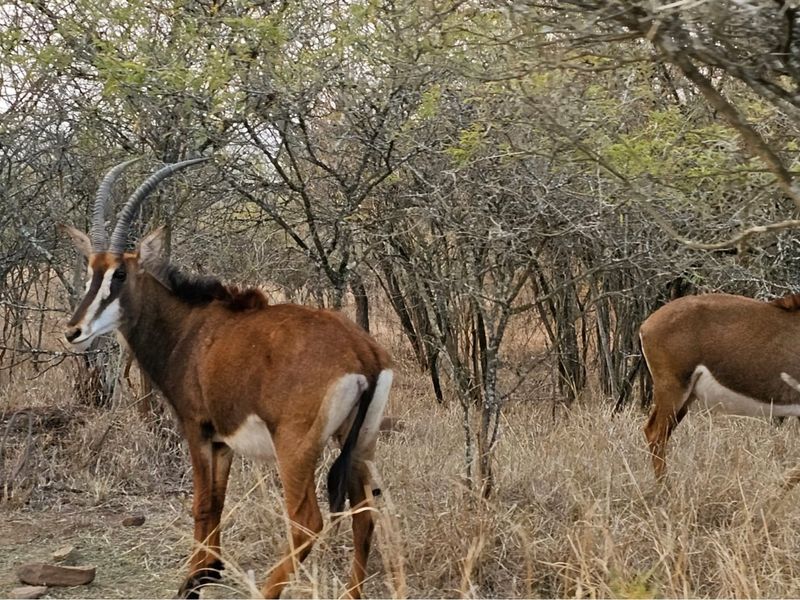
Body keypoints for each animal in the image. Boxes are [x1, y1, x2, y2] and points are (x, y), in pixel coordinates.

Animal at [61, 158, 394, 599]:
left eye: (120, 276)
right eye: (90, 272)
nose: (74, 331)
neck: (190, 327)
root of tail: (363, 352)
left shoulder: (196, 427)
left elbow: (201, 503)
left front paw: (191, 582)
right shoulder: (223, 440)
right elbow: (216, 502)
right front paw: (208, 571)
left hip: (295, 449)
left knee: (307, 522)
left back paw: (268, 589)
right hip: (359, 444)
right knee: (364, 514)